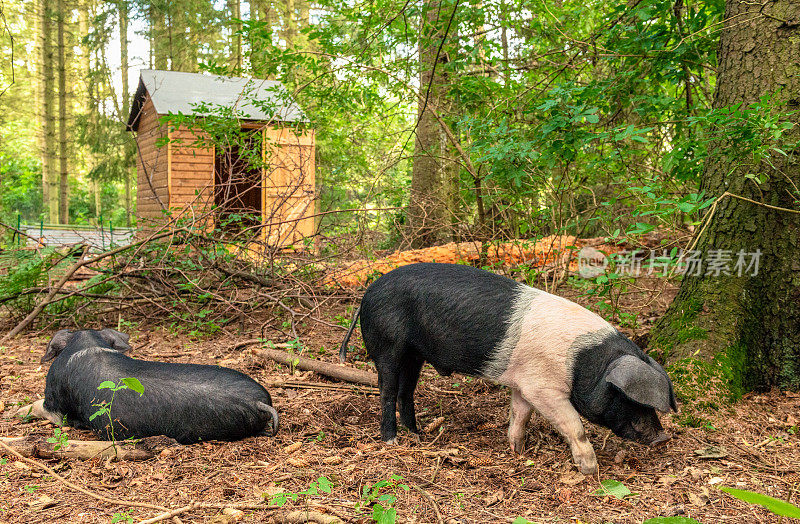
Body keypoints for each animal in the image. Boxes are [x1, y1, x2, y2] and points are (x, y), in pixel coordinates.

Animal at [338, 264, 676, 472]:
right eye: (628, 398)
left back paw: (418, 436)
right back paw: (391, 440)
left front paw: (517, 450)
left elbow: (519, 414)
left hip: (415, 354)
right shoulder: (543, 388)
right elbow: (574, 426)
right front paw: (591, 471)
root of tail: (366, 295)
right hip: (388, 343)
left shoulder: (524, 382)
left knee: (406, 392)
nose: (663, 438)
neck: (583, 362)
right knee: (386, 390)